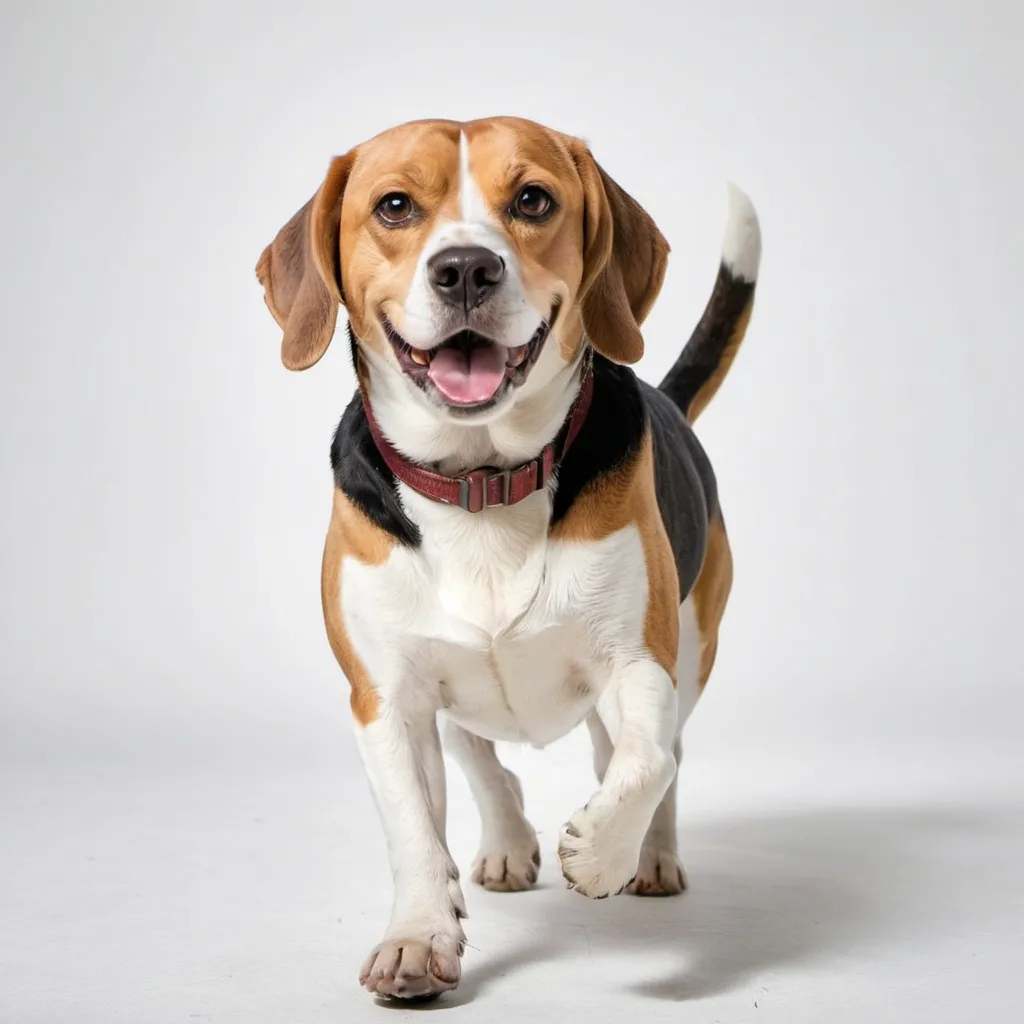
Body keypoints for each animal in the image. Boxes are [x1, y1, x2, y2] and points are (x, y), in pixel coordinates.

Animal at [256, 114, 761, 999]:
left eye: (533, 200)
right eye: (394, 206)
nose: (466, 268)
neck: (481, 482)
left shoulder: (640, 662)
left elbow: (646, 763)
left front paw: (600, 853)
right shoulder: (384, 698)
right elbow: (414, 830)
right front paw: (417, 938)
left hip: (697, 648)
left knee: (657, 754)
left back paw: (652, 856)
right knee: (477, 748)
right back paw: (503, 841)